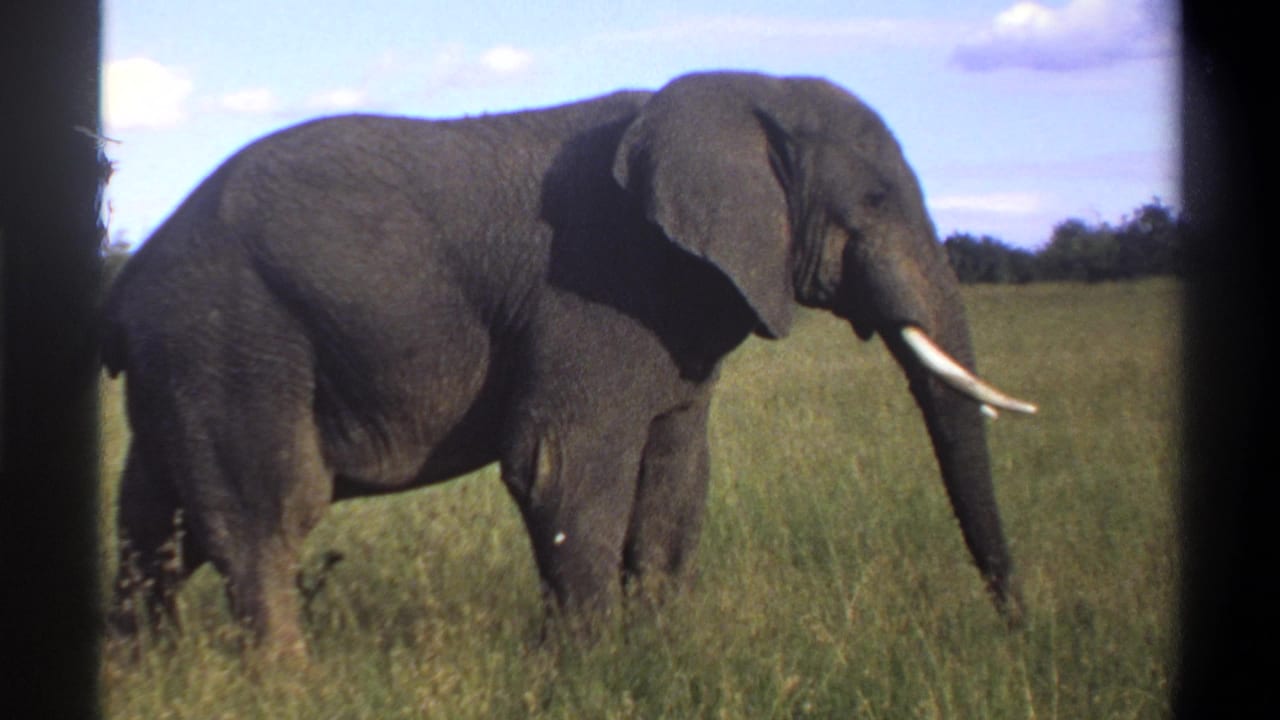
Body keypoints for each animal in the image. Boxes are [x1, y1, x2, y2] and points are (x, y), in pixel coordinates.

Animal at [101, 71, 1036, 661]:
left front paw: (659, 655)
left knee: (155, 520)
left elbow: (677, 479)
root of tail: (131, 278)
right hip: (231, 338)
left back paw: (150, 673)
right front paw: (589, 672)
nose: (1017, 627)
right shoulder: (592, 292)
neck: (745, 96)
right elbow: (562, 469)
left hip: (182, 361)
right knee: (263, 515)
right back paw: (285, 682)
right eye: (874, 201)